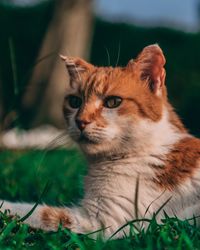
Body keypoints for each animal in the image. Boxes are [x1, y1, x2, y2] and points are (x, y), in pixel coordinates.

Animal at [1, 44, 200, 238]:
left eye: (113, 102)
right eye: (75, 102)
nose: (80, 121)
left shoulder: (103, 223)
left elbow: (36, 212)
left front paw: (5, 205)